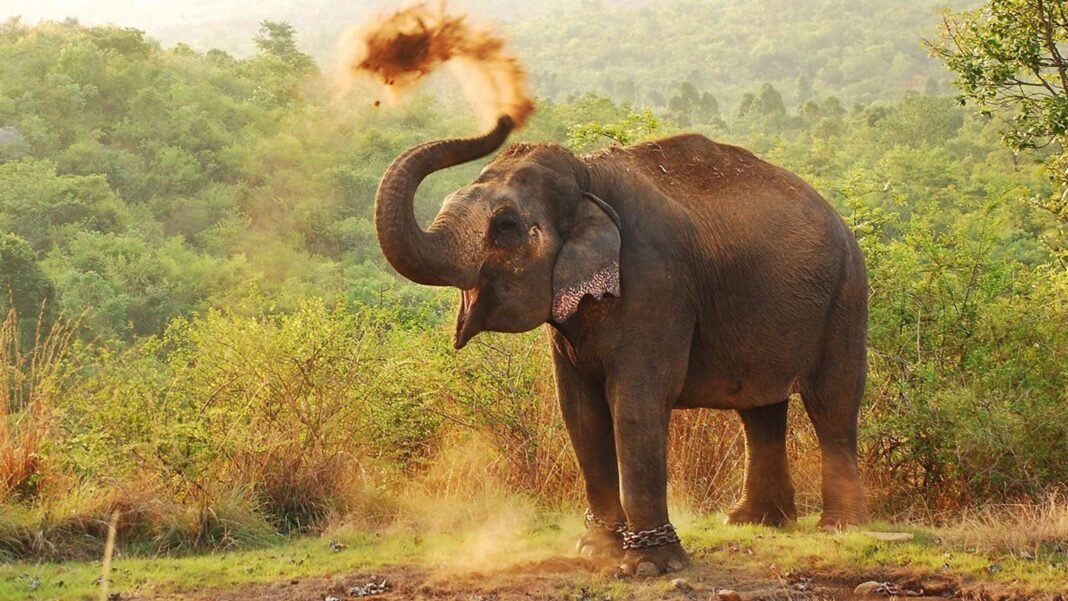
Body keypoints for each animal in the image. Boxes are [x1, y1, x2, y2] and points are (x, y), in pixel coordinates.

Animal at [374, 115, 867, 576]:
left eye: (506, 226)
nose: (505, 117)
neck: (587, 177)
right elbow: (580, 411)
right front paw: (597, 550)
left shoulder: (656, 281)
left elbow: (635, 405)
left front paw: (649, 566)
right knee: (760, 409)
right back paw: (753, 522)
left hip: (846, 294)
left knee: (832, 402)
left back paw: (839, 526)